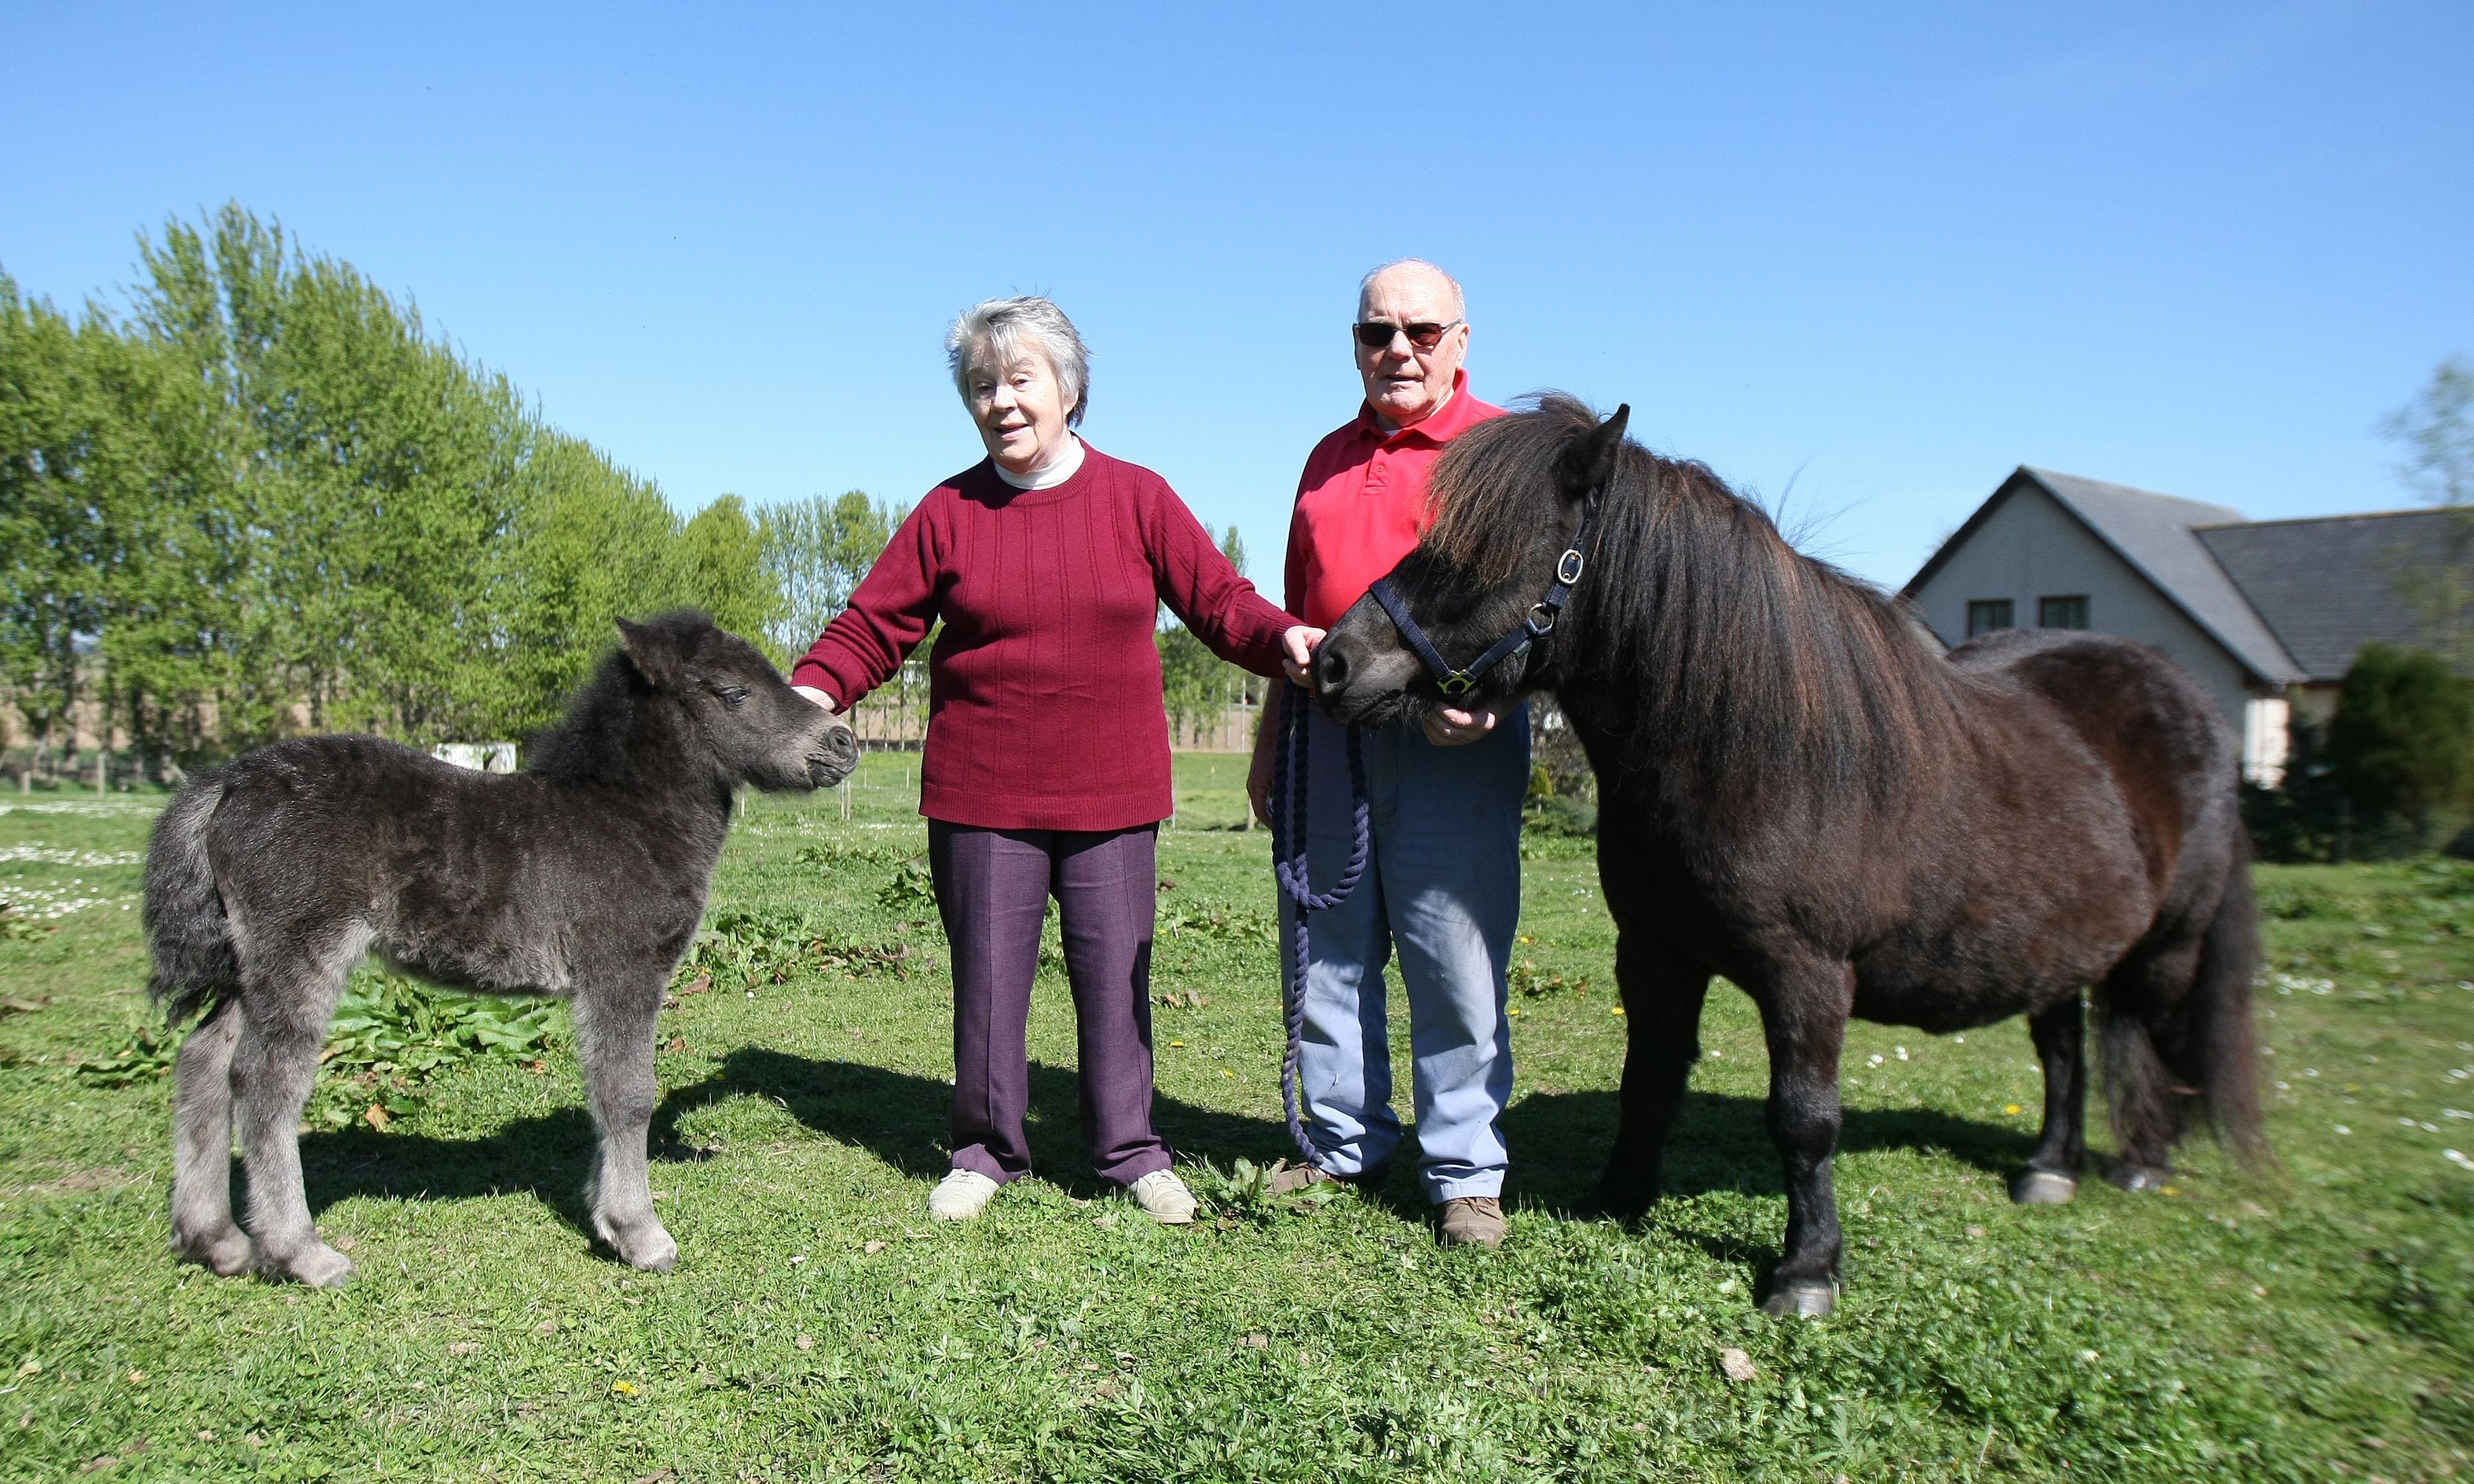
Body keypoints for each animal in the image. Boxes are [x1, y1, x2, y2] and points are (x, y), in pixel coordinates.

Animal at [147, 613, 861, 1286]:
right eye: (733, 691)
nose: (844, 743)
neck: (625, 815)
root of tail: (230, 781)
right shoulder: (622, 969)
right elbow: (627, 1091)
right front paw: (640, 1233)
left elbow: (602, 1087)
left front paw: (605, 1216)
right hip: (300, 951)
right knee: (265, 1080)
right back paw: (300, 1252)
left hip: (249, 965)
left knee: (204, 1061)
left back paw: (216, 1240)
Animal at [1316, 393, 2266, 1306]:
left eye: (1483, 552)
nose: (1331, 662)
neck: (1751, 755)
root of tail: (2191, 700)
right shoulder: (1652, 953)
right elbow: (1647, 1079)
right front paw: (1617, 1199)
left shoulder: (1805, 974)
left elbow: (1804, 1117)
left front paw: (1807, 1269)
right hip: (2050, 944)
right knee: (2061, 1048)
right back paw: (2050, 1169)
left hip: (2167, 947)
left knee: (2153, 1044)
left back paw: (2140, 1164)